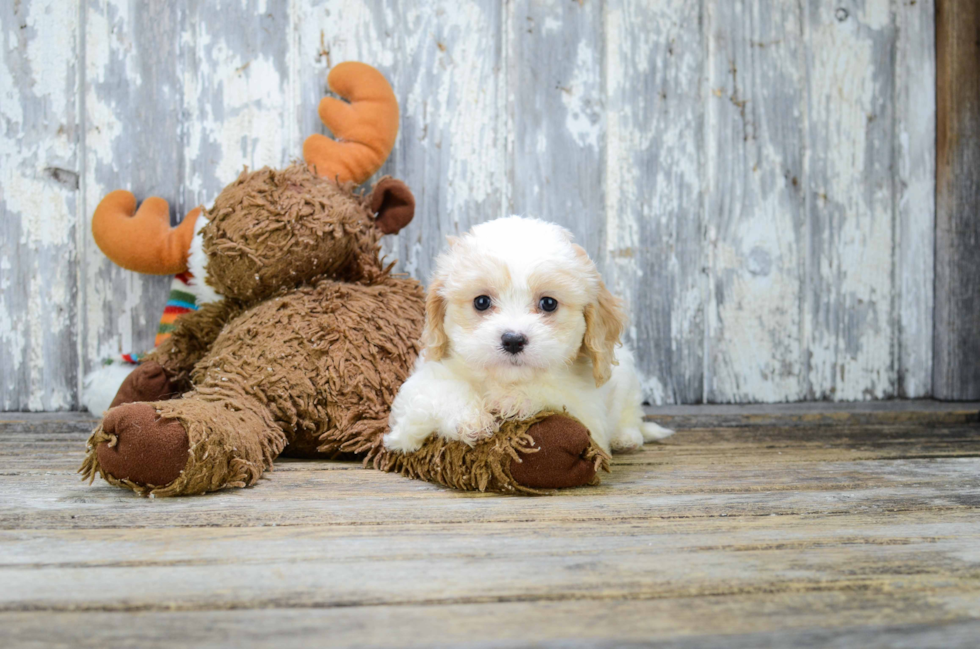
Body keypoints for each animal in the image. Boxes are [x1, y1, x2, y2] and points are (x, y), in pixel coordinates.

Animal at [382, 215, 672, 454]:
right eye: (481, 302)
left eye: (548, 303)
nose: (512, 340)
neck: (503, 378)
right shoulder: (420, 387)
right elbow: (441, 390)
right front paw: (472, 420)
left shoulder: (587, 411)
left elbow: (552, 392)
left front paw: (512, 399)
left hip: (628, 378)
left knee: (631, 414)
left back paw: (627, 437)